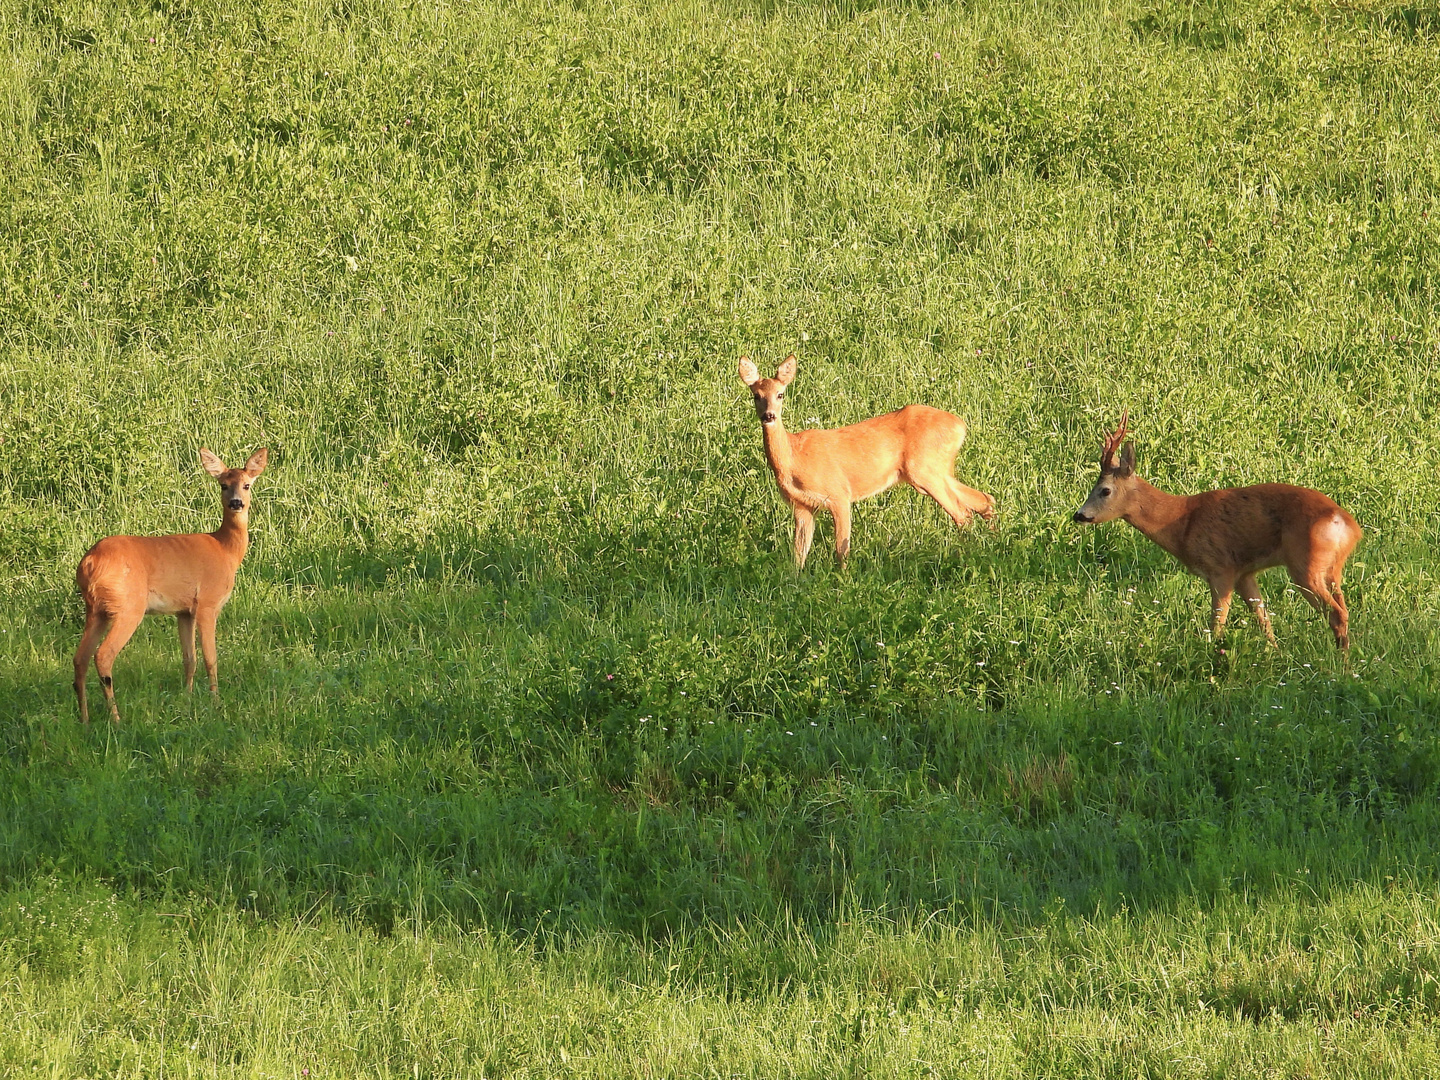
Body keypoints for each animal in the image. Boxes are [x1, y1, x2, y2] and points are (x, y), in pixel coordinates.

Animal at [74, 449, 269, 728]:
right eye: (223, 485)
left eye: (246, 485)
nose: (236, 503)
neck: (226, 550)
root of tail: (89, 562)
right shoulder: (208, 603)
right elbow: (211, 658)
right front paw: (216, 703)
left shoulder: (184, 611)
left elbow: (189, 659)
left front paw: (186, 699)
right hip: (128, 606)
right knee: (103, 655)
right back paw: (117, 718)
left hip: (96, 609)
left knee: (79, 658)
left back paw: (85, 719)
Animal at [737, 357, 996, 576]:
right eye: (756, 395)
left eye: (780, 394)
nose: (769, 416)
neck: (793, 458)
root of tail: (960, 426)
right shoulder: (802, 506)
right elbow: (798, 554)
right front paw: (794, 582)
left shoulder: (839, 494)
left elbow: (841, 548)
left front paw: (843, 580)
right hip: (936, 471)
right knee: (983, 500)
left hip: (924, 471)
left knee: (963, 514)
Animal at [1071, 414, 1359, 650]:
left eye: (1104, 490)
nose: (1079, 515)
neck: (1181, 522)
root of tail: (1347, 524)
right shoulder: (1244, 573)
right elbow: (1263, 621)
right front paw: (1275, 655)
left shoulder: (1220, 567)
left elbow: (1216, 625)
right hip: (1332, 568)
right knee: (1343, 609)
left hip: (1304, 563)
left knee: (1336, 614)